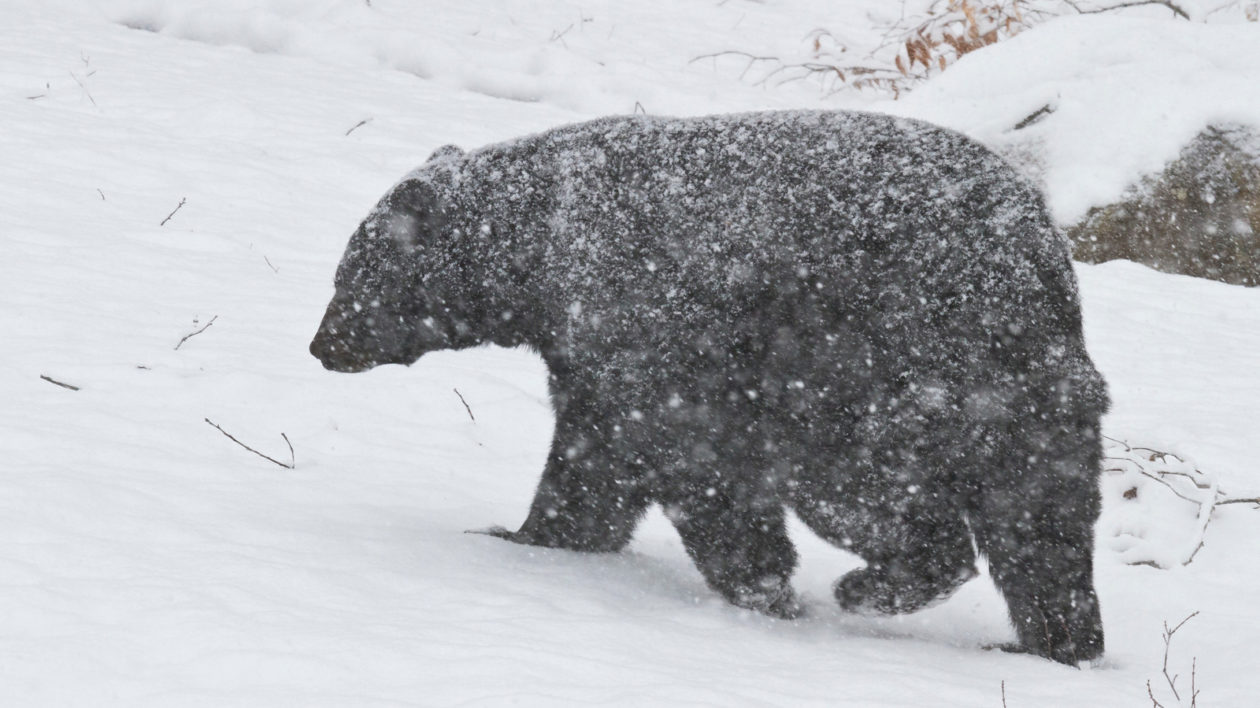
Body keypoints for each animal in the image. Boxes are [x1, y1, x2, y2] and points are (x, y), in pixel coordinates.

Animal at [309, 110, 1108, 660]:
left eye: (351, 274)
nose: (322, 344)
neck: (541, 251)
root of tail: (1039, 263)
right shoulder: (589, 357)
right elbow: (591, 459)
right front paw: (529, 533)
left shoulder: (653, 326)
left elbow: (694, 460)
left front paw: (763, 588)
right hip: (1033, 395)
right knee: (1043, 521)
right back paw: (1051, 641)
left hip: (887, 366)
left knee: (875, 491)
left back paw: (872, 585)